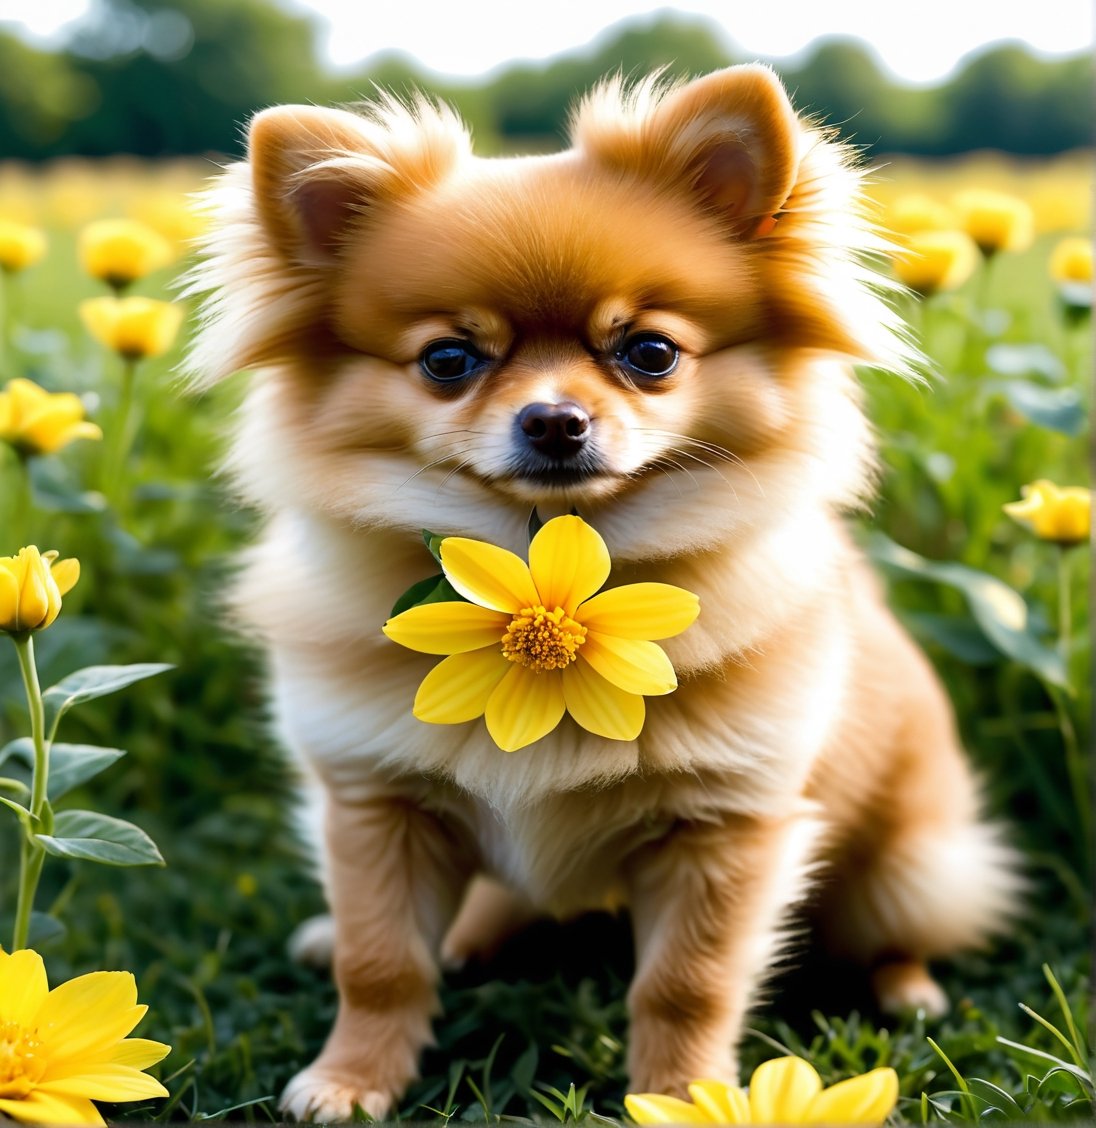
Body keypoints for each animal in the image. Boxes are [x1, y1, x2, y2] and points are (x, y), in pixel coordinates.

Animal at [186, 65, 1019, 1123]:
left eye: (649, 353)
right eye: (448, 360)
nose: (554, 420)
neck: (547, 561)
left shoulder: (725, 828)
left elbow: (685, 984)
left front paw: (683, 1098)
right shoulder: (374, 800)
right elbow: (381, 965)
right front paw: (351, 1079)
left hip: (906, 864)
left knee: (899, 923)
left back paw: (908, 989)